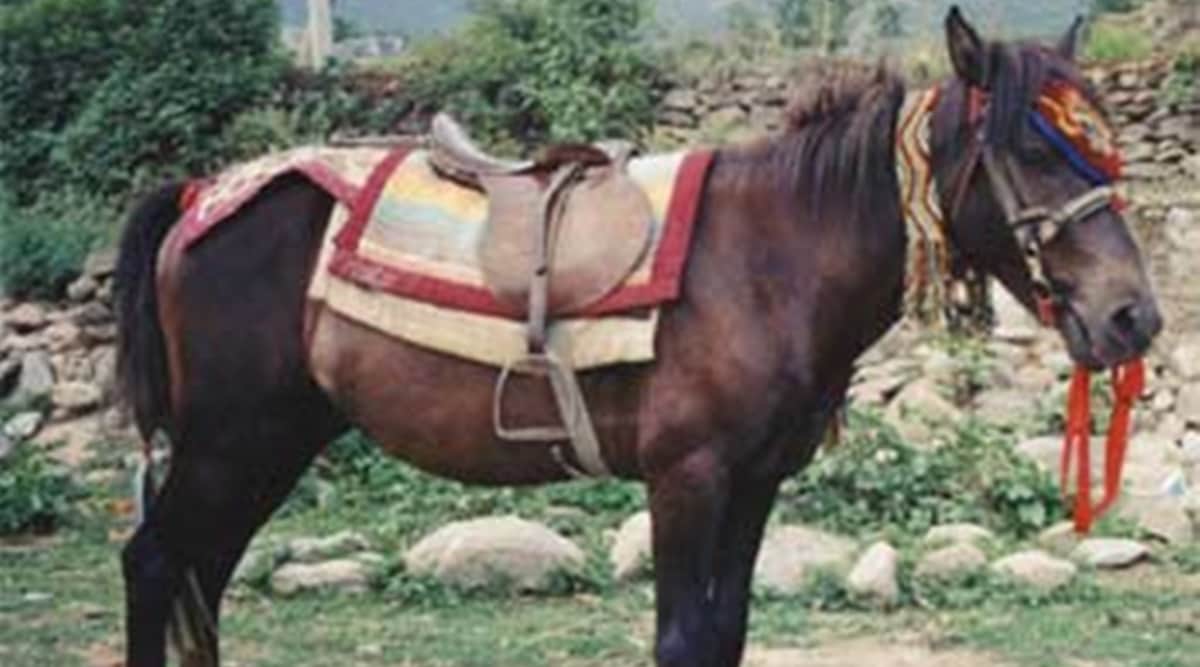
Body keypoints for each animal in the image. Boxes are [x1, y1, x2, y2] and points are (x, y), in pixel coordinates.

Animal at [115, 8, 1162, 667]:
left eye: (1106, 148)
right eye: (1031, 150)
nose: (1133, 316)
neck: (768, 258)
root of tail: (202, 195)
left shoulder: (753, 483)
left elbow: (726, 634)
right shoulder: (685, 478)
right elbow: (681, 640)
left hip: (266, 446)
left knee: (196, 580)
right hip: (232, 444)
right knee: (156, 564)